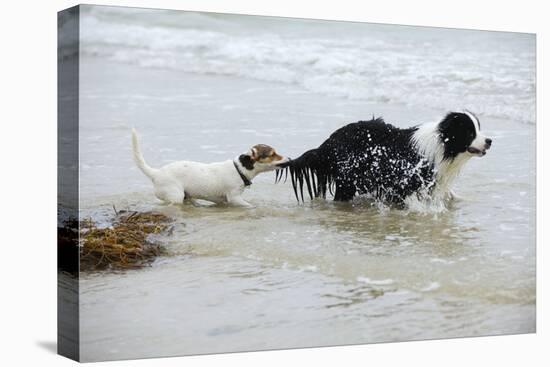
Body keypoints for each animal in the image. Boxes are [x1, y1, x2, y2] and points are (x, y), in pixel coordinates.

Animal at [132, 129, 292, 207]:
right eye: (272, 154)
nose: (290, 159)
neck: (239, 169)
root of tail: (156, 173)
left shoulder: (224, 200)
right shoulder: (234, 198)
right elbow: (249, 205)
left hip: (185, 195)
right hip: (175, 195)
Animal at [278, 111, 494, 207]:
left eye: (479, 128)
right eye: (470, 132)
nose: (490, 141)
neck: (443, 145)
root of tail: (329, 142)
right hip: (348, 179)